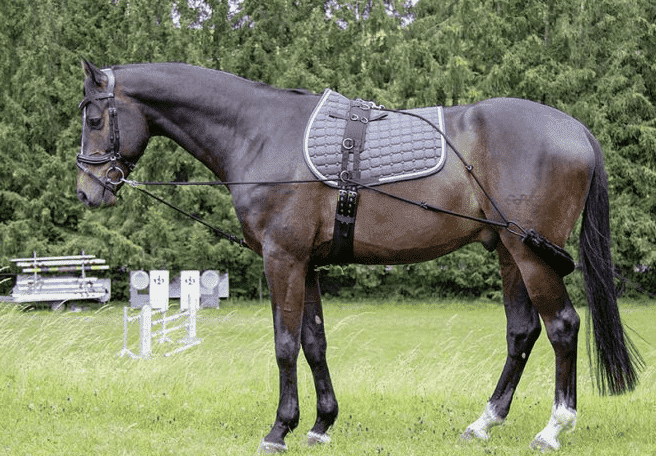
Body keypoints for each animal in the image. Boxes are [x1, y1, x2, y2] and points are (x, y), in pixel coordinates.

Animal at [77, 61, 640, 452]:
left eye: (95, 117)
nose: (88, 191)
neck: (260, 132)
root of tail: (576, 129)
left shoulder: (283, 259)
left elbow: (285, 345)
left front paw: (279, 429)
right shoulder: (307, 264)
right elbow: (314, 343)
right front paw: (321, 423)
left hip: (531, 254)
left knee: (562, 327)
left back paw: (553, 429)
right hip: (508, 252)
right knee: (522, 333)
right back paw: (484, 423)